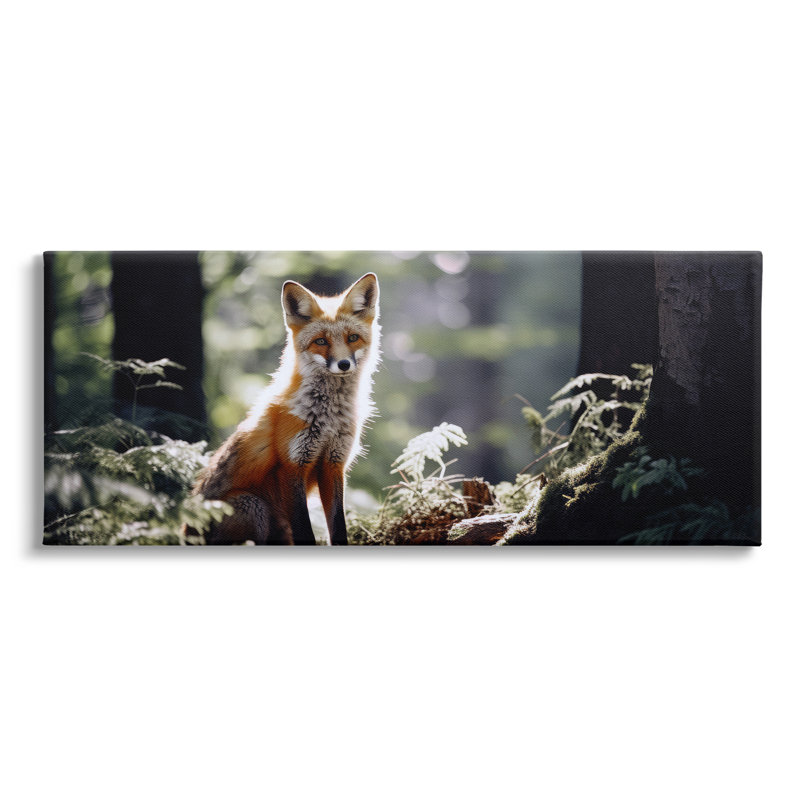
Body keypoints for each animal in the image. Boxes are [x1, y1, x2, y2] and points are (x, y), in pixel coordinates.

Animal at [189, 272, 380, 545]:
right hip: (252, 505)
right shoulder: (292, 465)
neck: (328, 418)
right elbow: (305, 532)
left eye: (352, 338)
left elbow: (338, 527)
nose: (344, 364)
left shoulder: (333, 464)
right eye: (321, 341)